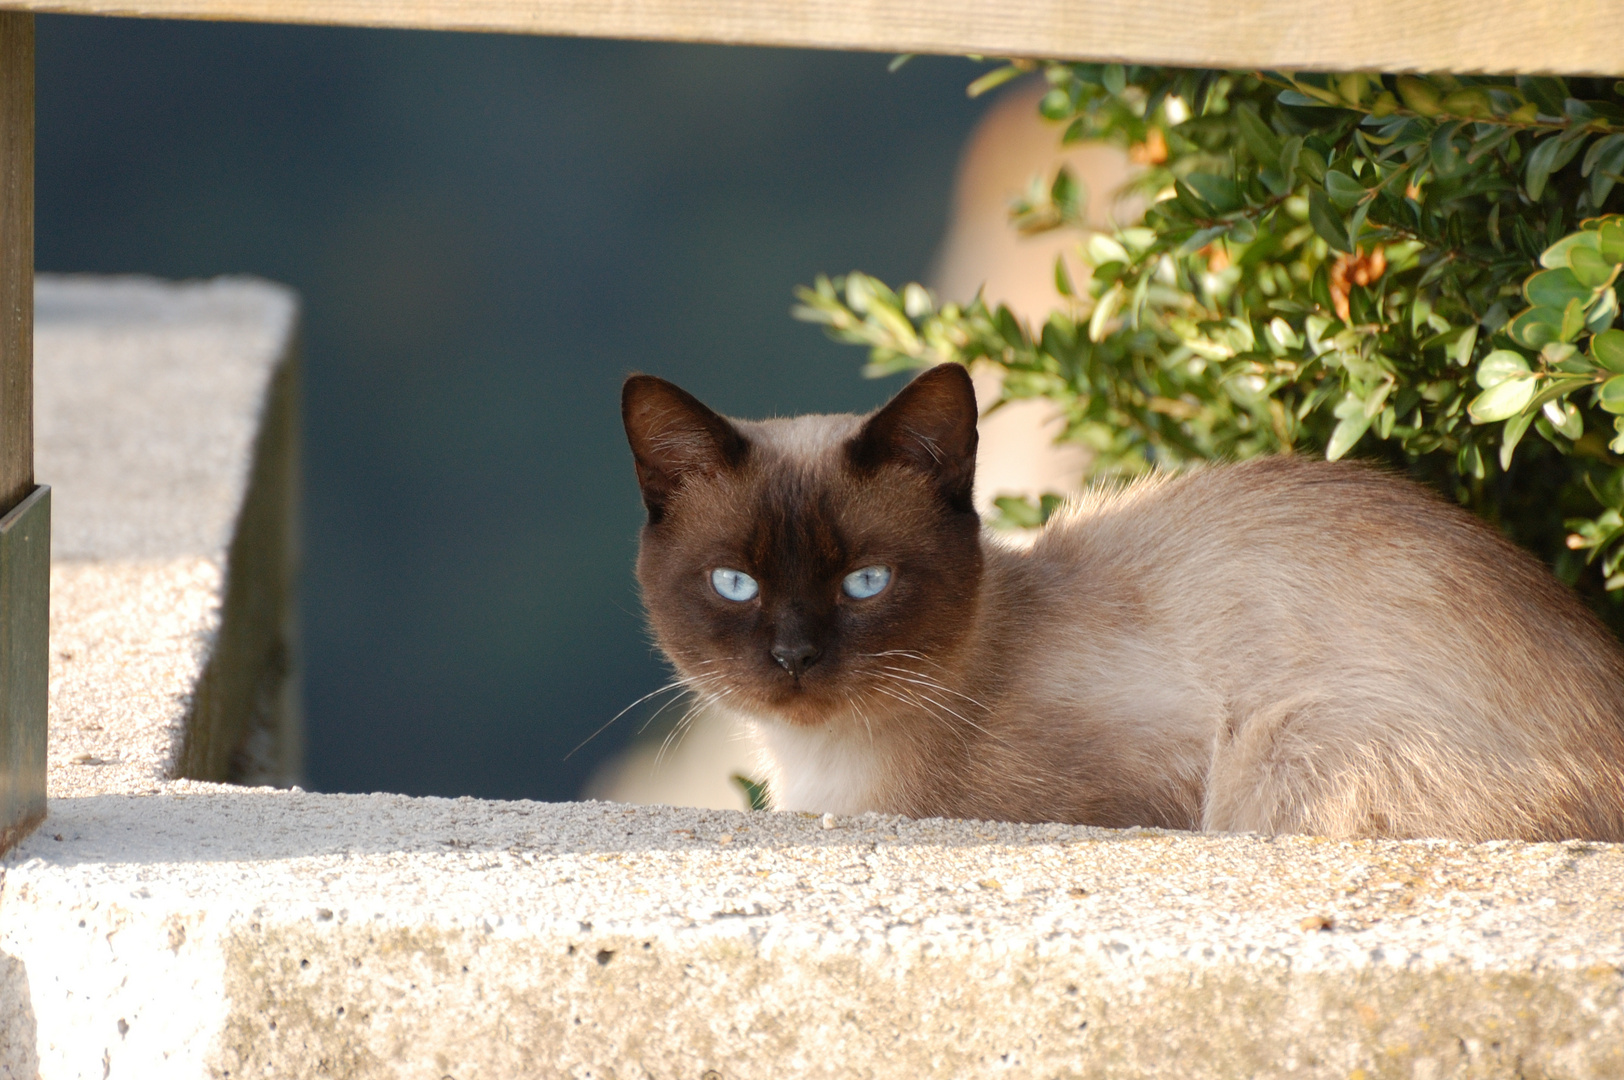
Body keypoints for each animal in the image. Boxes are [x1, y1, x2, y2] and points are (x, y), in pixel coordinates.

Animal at [626, 362, 1624, 844]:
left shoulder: (1143, 784)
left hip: (1287, 743)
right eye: (735, 583)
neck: (826, 776)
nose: (794, 658)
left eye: (864, 582)